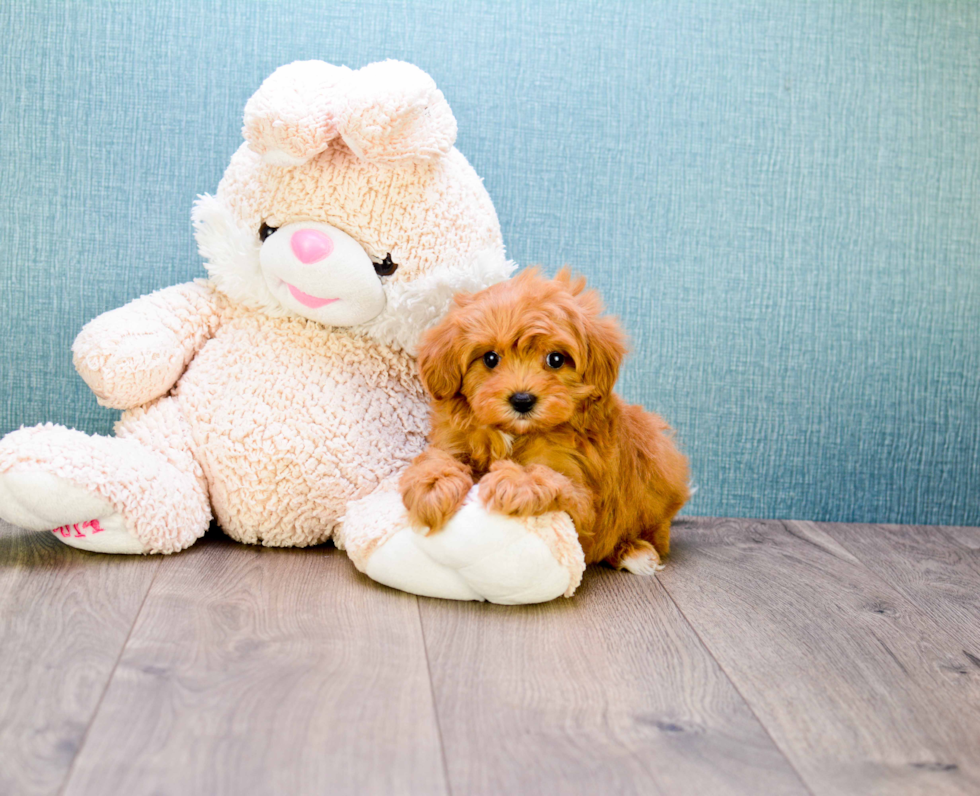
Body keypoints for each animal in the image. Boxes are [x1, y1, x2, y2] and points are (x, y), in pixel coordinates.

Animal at [398, 268, 688, 572]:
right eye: (490, 358)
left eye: (556, 359)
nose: (522, 400)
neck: (516, 433)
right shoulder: (454, 439)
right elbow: (439, 458)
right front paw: (431, 487)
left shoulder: (582, 497)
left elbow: (546, 475)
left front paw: (512, 481)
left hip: (655, 456)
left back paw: (634, 551)